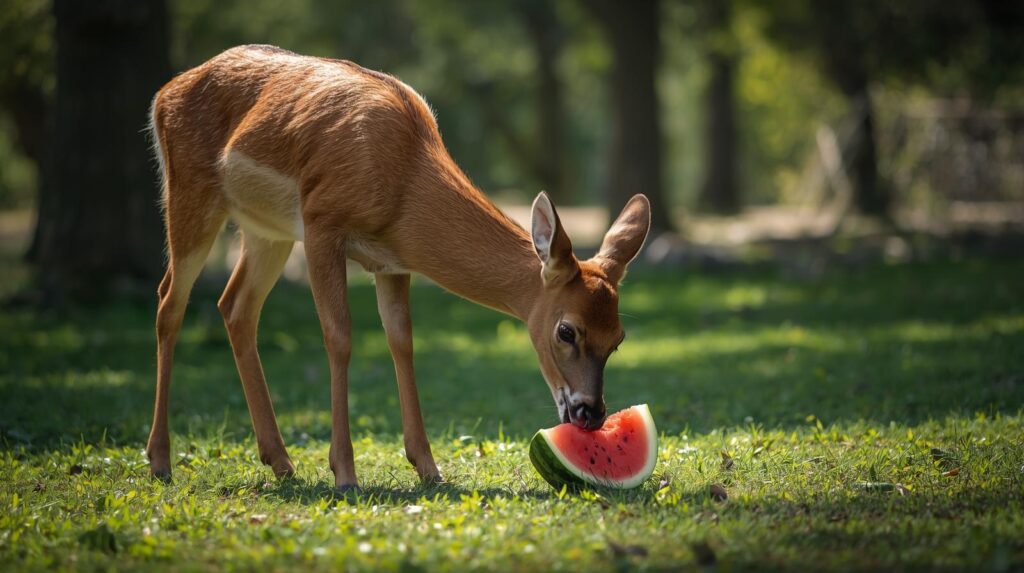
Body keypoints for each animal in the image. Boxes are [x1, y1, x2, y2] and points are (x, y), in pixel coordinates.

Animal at [146, 45, 651, 491]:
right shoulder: (322, 222)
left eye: (619, 338)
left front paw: (429, 468)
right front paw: (345, 472)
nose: (592, 414)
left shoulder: (391, 261)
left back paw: (280, 461)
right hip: (192, 191)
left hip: (266, 230)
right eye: (567, 331)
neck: (404, 186)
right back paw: (160, 460)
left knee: (235, 306)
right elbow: (340, 337)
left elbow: (402, 341)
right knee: (169, 301)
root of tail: (163, 94)